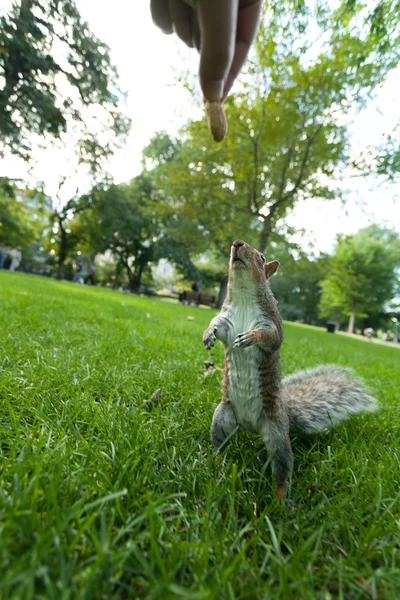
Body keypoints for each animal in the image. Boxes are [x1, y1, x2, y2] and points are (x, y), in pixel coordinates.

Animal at [203, 238, 378, 496]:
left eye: (263, 257)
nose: (237, 243)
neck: (244, 296)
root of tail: (249, 426)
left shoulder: (272, 322)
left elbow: (271, 338)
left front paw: (252, 337)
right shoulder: (225, 321)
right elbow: (216, 327)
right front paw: (207, 335)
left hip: (276, 435)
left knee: (282, 468)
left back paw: (280, 497)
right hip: (222, 419)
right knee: (219, 445)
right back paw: (213, 463)